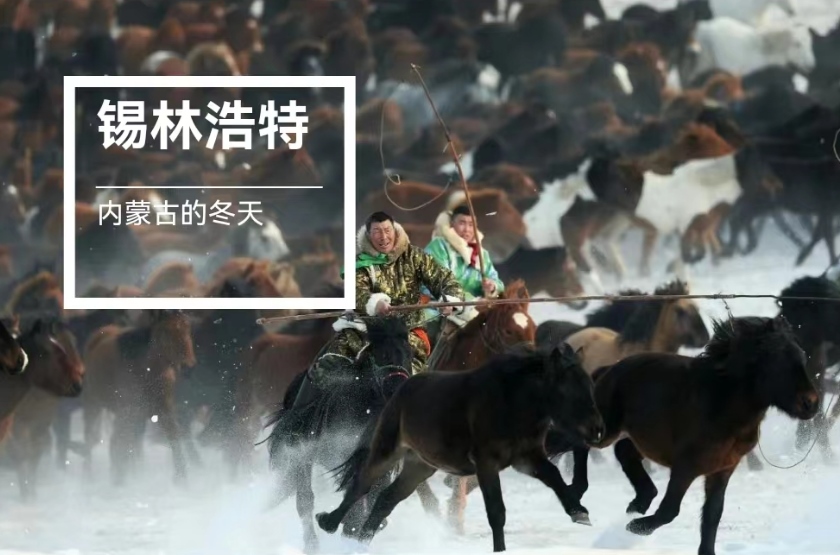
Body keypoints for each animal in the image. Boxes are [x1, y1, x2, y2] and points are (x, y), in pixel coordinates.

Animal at [263, 315, 416, 554]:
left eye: (409, 354)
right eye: (382, 354)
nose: (399, 389)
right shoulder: (303, 450)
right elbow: (305, 500)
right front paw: (312, 544)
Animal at [316, 343, 605, 553]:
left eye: (590, 386)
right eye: (568, 391)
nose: (598, 429)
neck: (512, 403)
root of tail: (398, 391)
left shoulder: (528, 457)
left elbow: (554, 476)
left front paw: (579, 512)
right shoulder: (486, 463)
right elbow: (496, 512)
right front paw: (500, 549)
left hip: (420, 465)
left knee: (387, 498)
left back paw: (362, 541)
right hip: (387, 450)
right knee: (361, 484)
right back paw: (328, 523)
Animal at [564, 315, 819, 555]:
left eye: (801, 357)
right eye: (775, 362)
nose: (811, 404)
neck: (722, 406)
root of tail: (607, 370)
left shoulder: (722, 470)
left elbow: (712, 515)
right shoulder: (686, 466)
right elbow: (670, 509)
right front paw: (636, 527)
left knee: (623, 452)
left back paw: (640, 501)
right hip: (607, 430)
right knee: (581, 443)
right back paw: (579, 493)